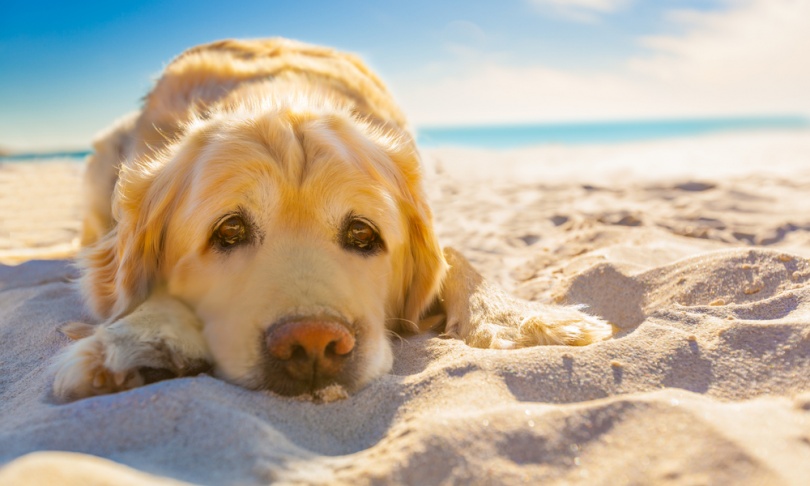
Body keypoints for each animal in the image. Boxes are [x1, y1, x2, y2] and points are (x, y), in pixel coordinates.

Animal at [50, 39, 608, 402]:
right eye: (228, 230)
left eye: (362, 232)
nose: (313, 343)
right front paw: (137, 340)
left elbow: (456, 255)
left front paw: (524, 319)